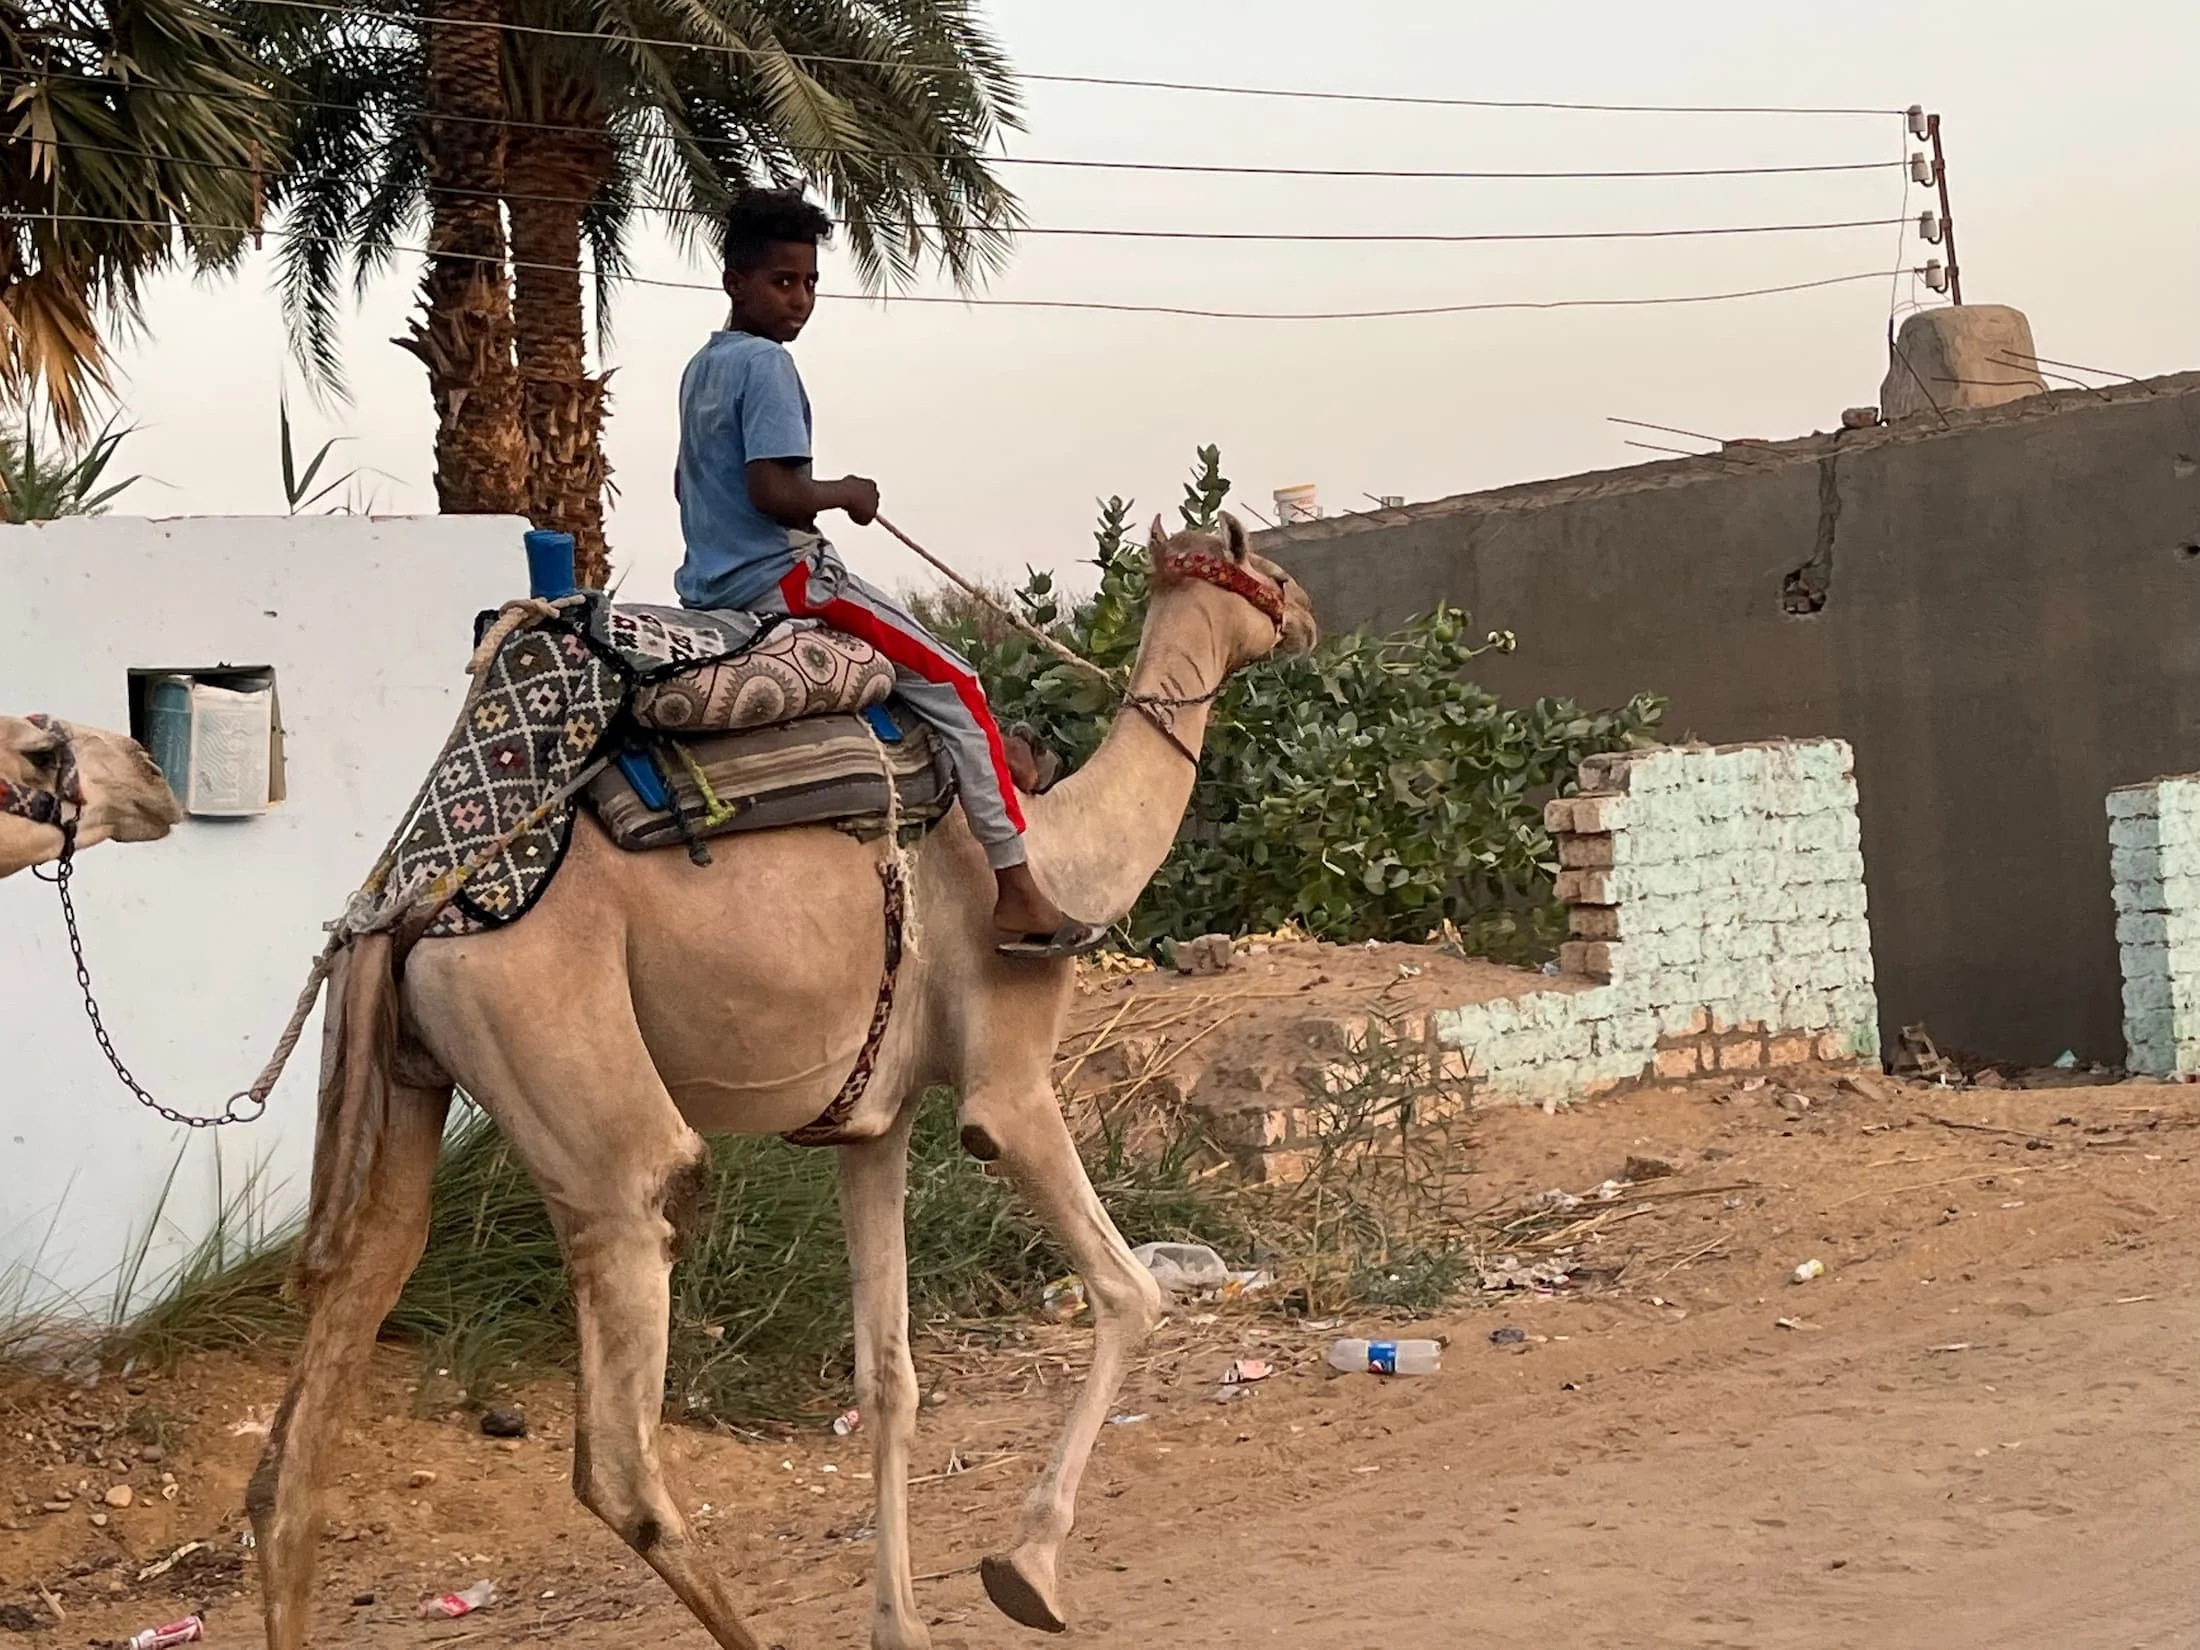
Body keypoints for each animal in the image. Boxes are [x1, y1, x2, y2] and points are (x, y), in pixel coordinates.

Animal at [246, 515, 1317, 1650]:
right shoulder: (1009, 1082)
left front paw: (903, 1625)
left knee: (323, 1386)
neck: (1072, 849)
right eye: (1261, 565)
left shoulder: (872, 1123)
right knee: (624, 1397)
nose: (1304, 615)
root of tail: (407, 907)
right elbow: (1127, 1292)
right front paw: (1025, 1570)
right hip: (564, 1064)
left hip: (406, 1071)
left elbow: (889, 1377)